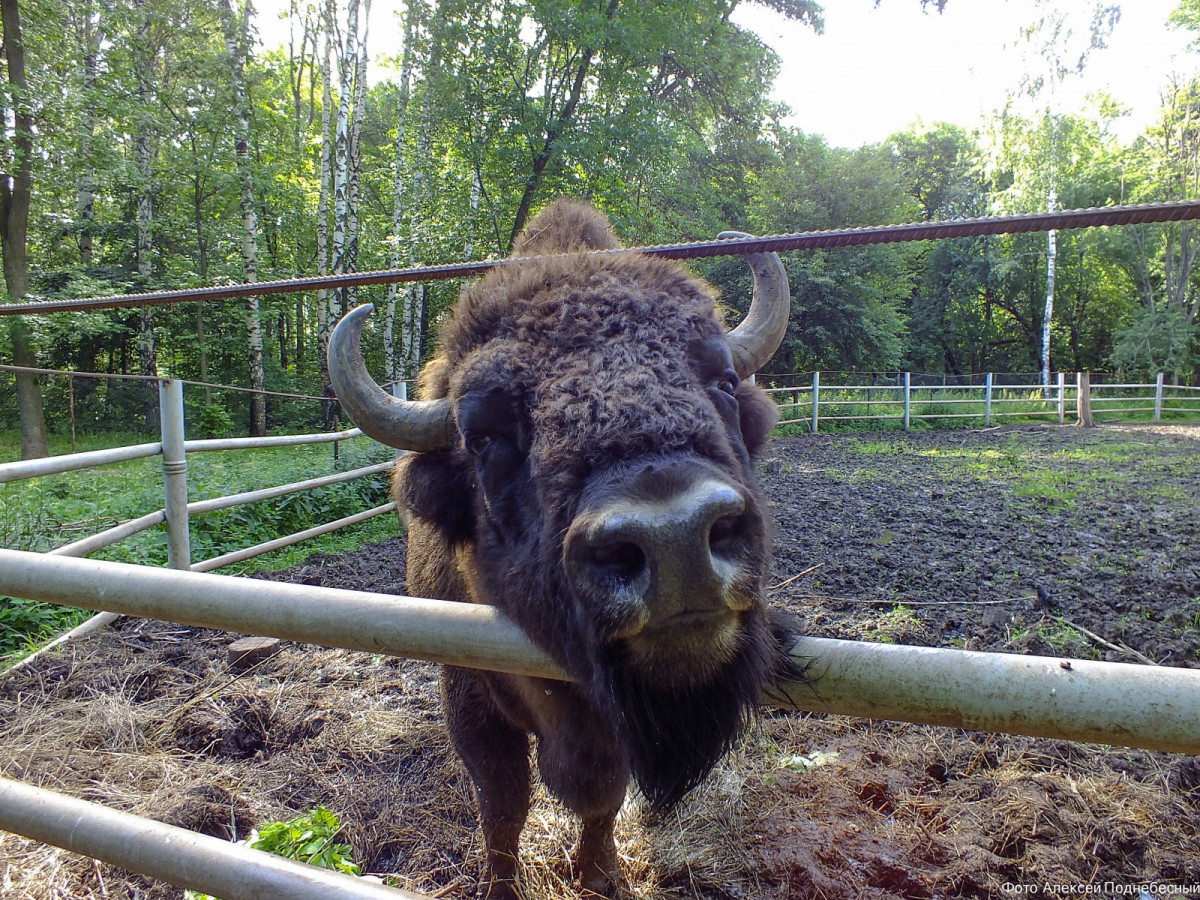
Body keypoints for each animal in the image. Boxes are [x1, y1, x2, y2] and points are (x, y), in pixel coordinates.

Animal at [324, 200, 801, 897]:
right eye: (483, 433)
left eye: (723, 380)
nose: (674, 541)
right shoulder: (469, 700)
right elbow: (502, 804)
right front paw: (501, 887)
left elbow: (602, 795)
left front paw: (599, 875)